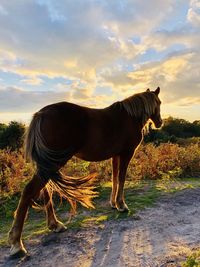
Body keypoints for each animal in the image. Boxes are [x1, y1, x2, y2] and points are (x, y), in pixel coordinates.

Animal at [8, 87, 162, 256]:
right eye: (159, 103)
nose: (160, 123)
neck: (129, 117)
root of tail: (40, 114)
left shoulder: (115, 155)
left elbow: (115, 178)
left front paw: (113, 203)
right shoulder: (126, 153)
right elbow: (121, 178)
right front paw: (121, 205)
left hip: (46, 164)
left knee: (45, 190)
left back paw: (55, 225)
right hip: (52, 163)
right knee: (29, 191)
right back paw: (17, 243)